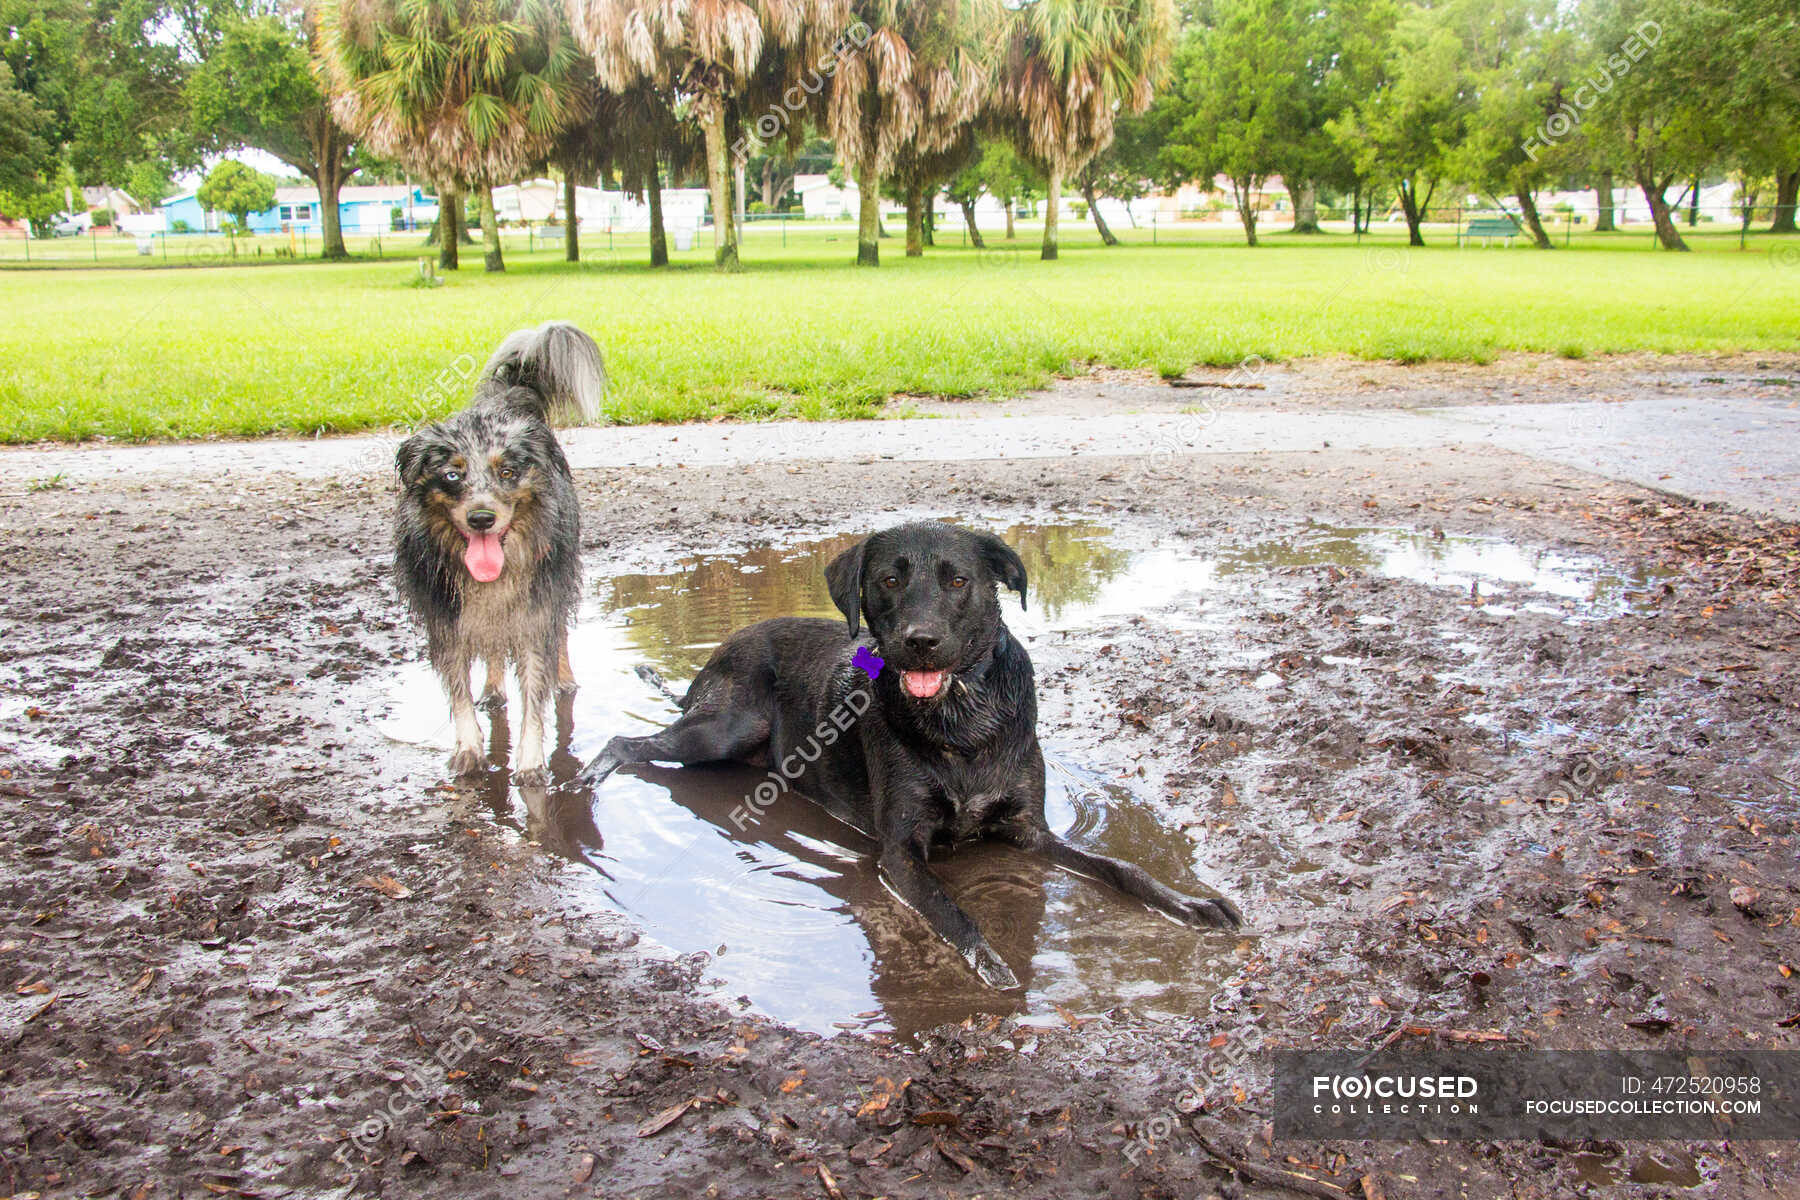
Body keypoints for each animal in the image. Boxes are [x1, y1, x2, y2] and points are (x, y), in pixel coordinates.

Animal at [397, 323, 608, 784]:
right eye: (451, 475)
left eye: (507, 472)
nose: (481, 518)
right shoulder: (446, 622)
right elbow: (458, 691)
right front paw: (468, 749)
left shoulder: (535, 614)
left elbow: (534, 691)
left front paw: (530, 762)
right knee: (493, 651)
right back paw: (493, 689)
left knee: (560, 638)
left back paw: (564, 680)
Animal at [583, 521, 1245, 993]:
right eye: (889, 581)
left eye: (957, 581)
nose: (920, 642)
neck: (961, 720)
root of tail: (714, 655)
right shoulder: (900, 852)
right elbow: (954, 913)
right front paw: (989, 964)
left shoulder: (1029, 829)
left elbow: (1121, 868)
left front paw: (1188, 902)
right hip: (727, 727)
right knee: (627, 742)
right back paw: (592, 774)